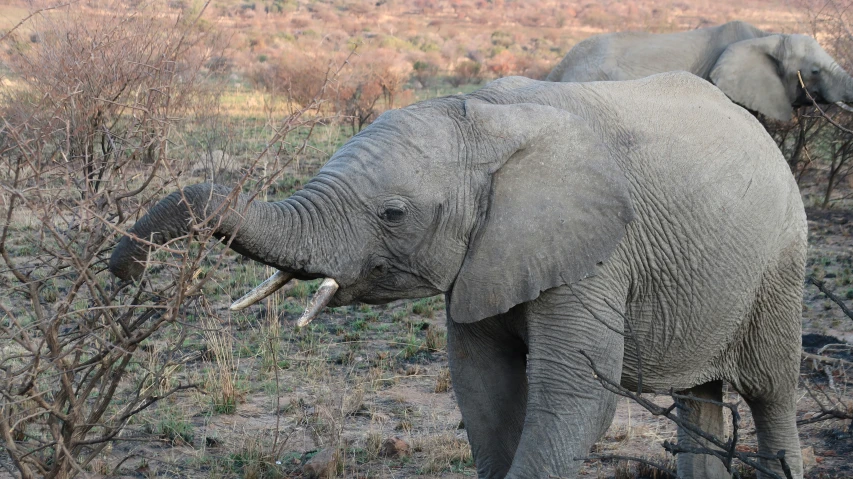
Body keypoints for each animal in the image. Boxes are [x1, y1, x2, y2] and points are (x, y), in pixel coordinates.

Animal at [110, 71, 808, 479]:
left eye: (393, 214)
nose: (126, 271)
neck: (486, 117)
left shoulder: (597, 252)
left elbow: (574, 395)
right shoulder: (487, 257)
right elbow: (482, 385)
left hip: (782, 262)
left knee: (772, 394)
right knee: (702, 399)